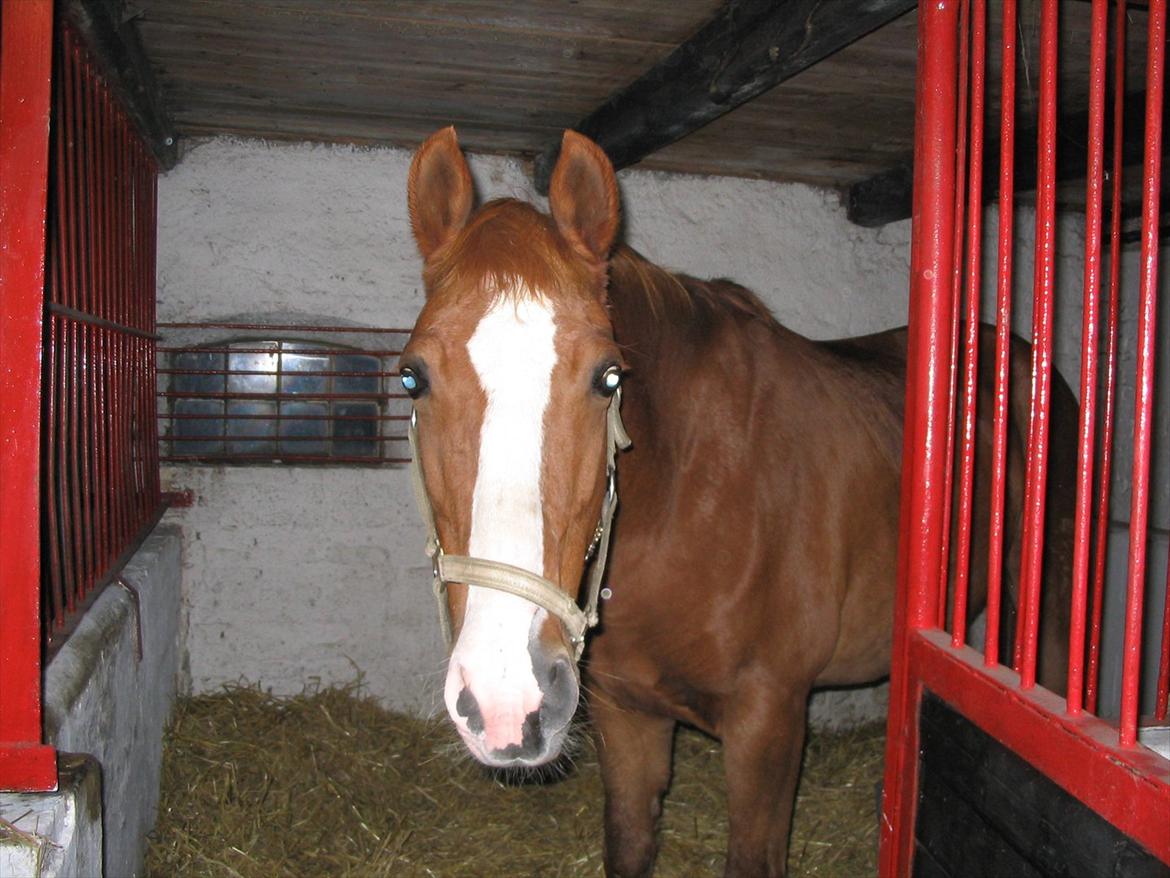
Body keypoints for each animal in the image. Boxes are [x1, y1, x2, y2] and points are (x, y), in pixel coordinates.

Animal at [397, 127, 1071, 875]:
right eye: (412, 377)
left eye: (609, 377)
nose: (504, 700)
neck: (684, 500)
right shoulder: (626, 713)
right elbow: (630, 842)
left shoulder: (767, 723)